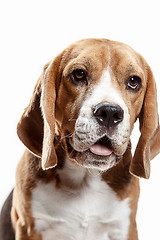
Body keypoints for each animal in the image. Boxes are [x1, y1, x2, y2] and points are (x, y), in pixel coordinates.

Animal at [0, 38, 160, 239]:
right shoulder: (29, 227)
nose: (109, 113)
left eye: (133, 81)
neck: (85, 178)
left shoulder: (124, 227)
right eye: (79, 74)